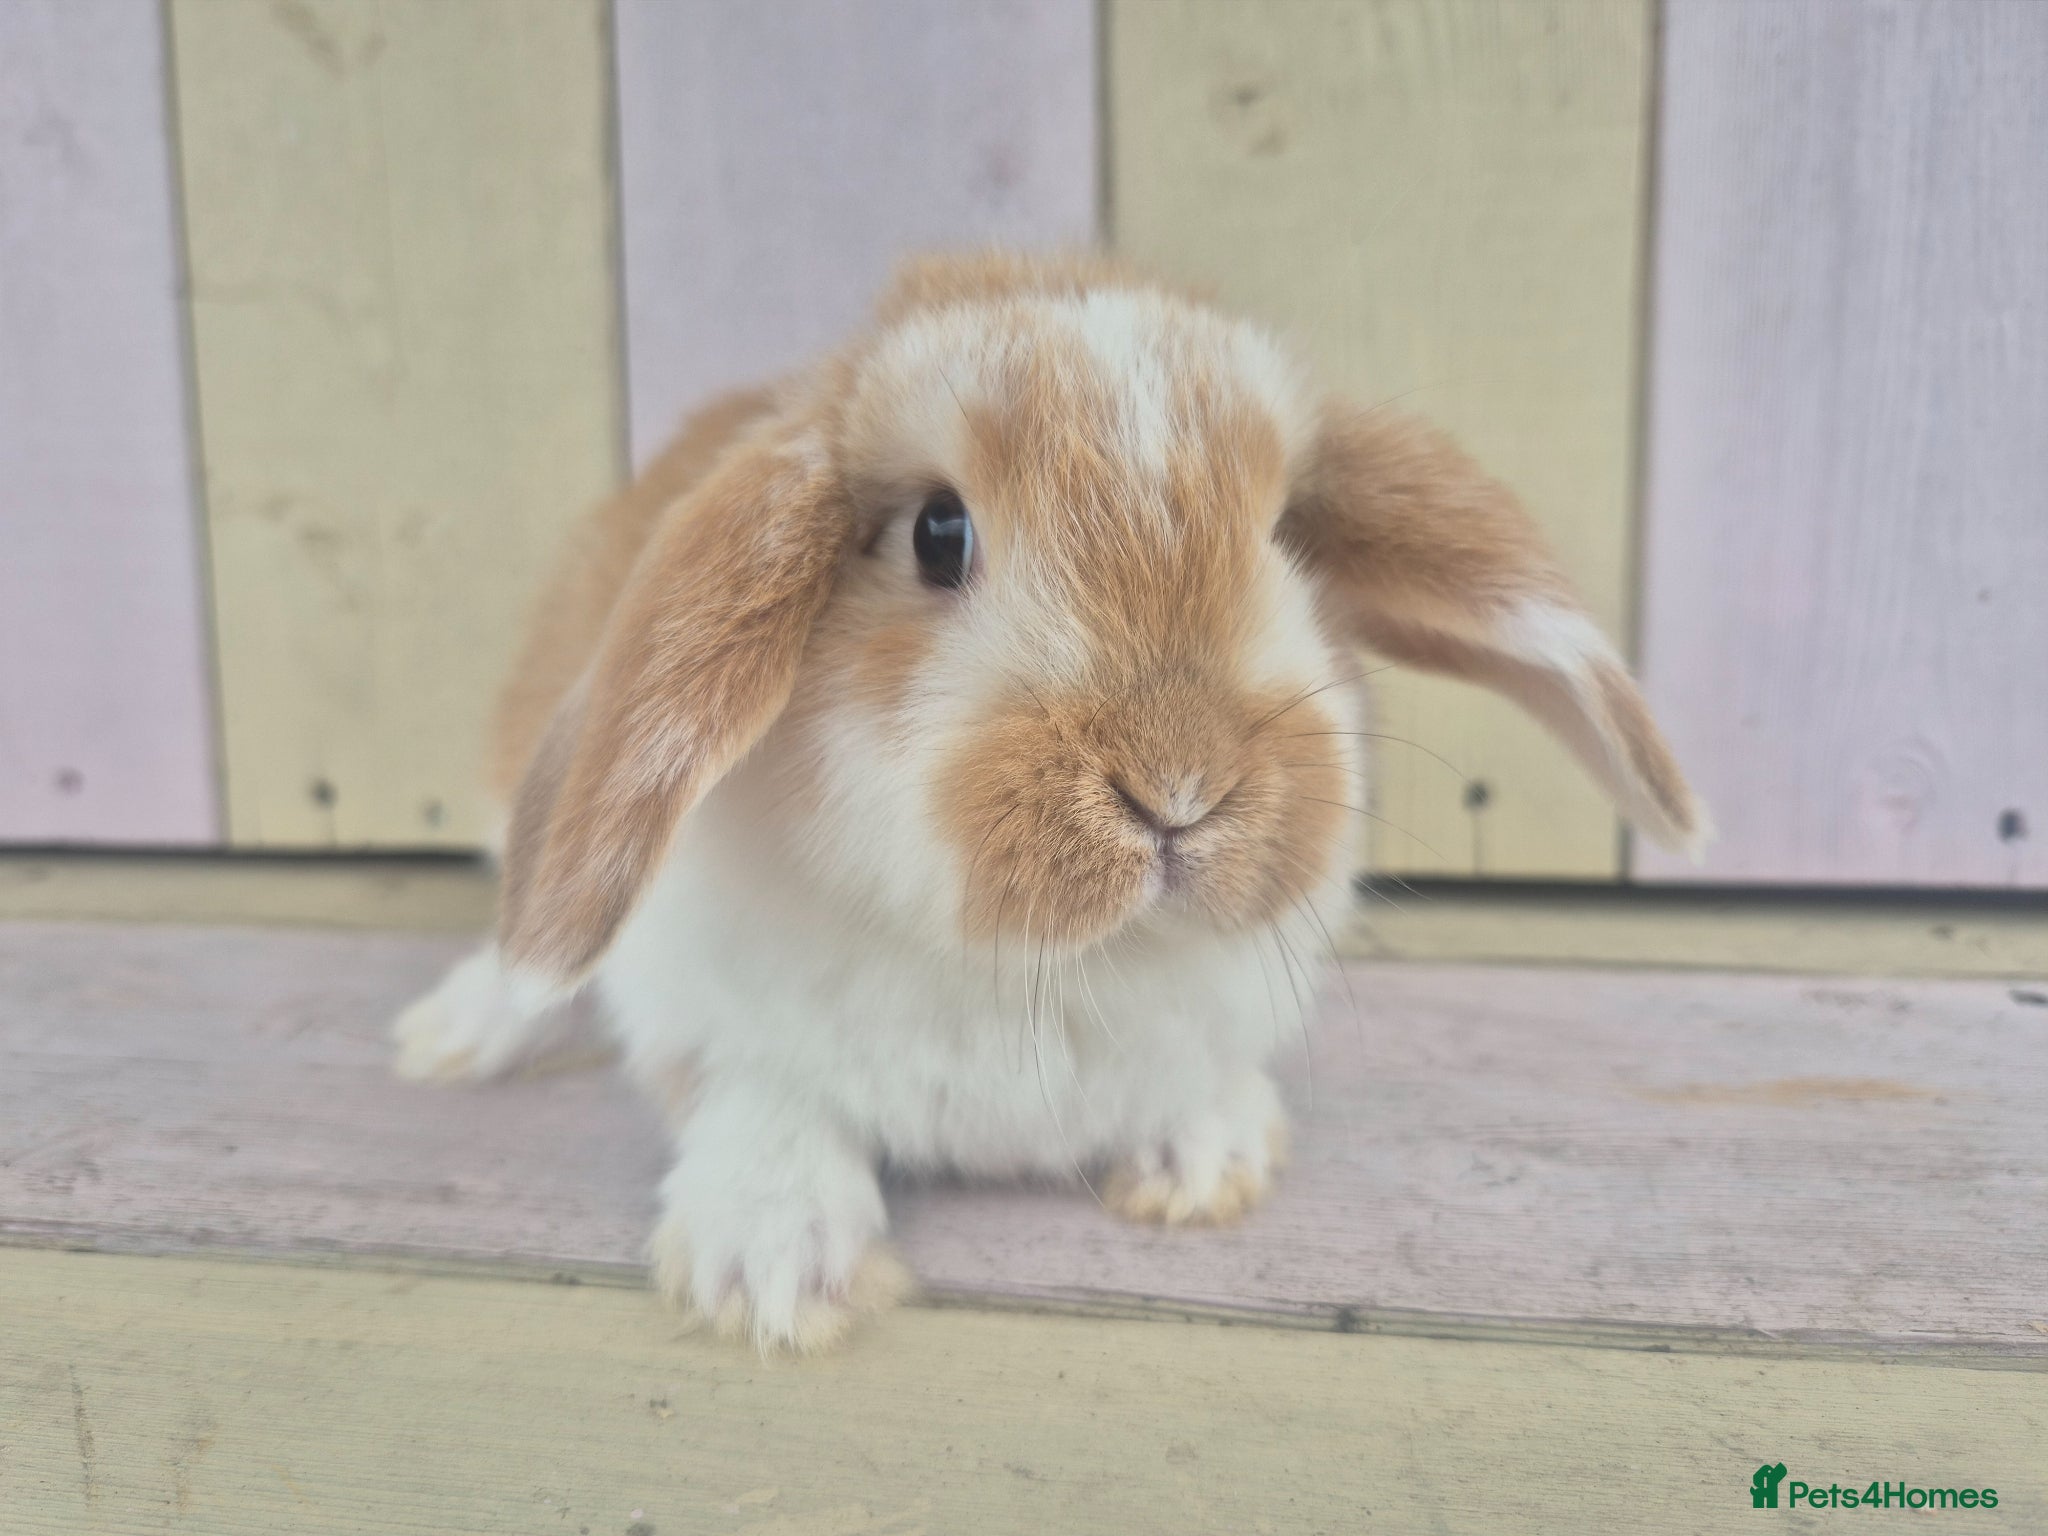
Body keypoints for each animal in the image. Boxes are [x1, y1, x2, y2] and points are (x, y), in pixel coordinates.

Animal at [393, 250, 1704, 1353]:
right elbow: (755, 1097)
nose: (1179, 785)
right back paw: (447, 1042)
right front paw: (769, 1270)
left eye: (1282, 535)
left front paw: (1206, 1163)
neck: (1042, 969)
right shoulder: (693, 1005)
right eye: (937, 532)